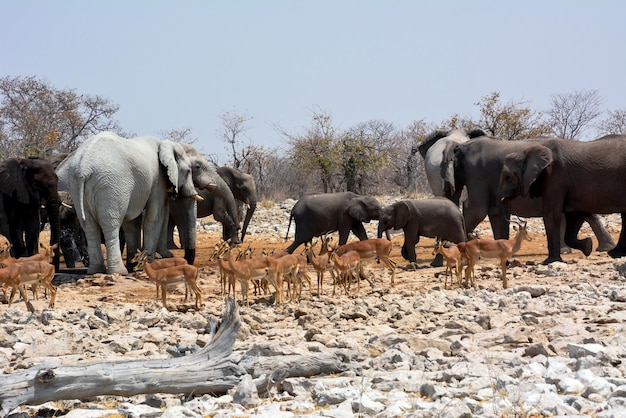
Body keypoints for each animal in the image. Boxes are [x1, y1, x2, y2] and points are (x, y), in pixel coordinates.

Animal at [57, 131, 201, 274]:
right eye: (189, 171)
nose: (186, 260)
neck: (165, 144)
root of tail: (83, 168)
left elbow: (132, 223)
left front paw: (134, 265)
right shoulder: (158, 180)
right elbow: (153, 217)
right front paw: (146, 265)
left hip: (75, 185)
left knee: (89, 226)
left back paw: (96, 271)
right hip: (111, 185)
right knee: (110, 224)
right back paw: (119, 272)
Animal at [438, 134, 616, 253]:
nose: (442, 243)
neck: (462, 146)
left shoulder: (476, 172)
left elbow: (476, 209)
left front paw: (451, 245)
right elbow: (493, 211)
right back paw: (603, 248)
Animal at [498, 135, 624, 264]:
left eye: (507, 177)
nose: (507, 261)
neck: (527, 152)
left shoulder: (556, 176)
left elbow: (551, 214)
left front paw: (550, 261)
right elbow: (575, 215)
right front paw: (588, 246)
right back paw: (614, 253)